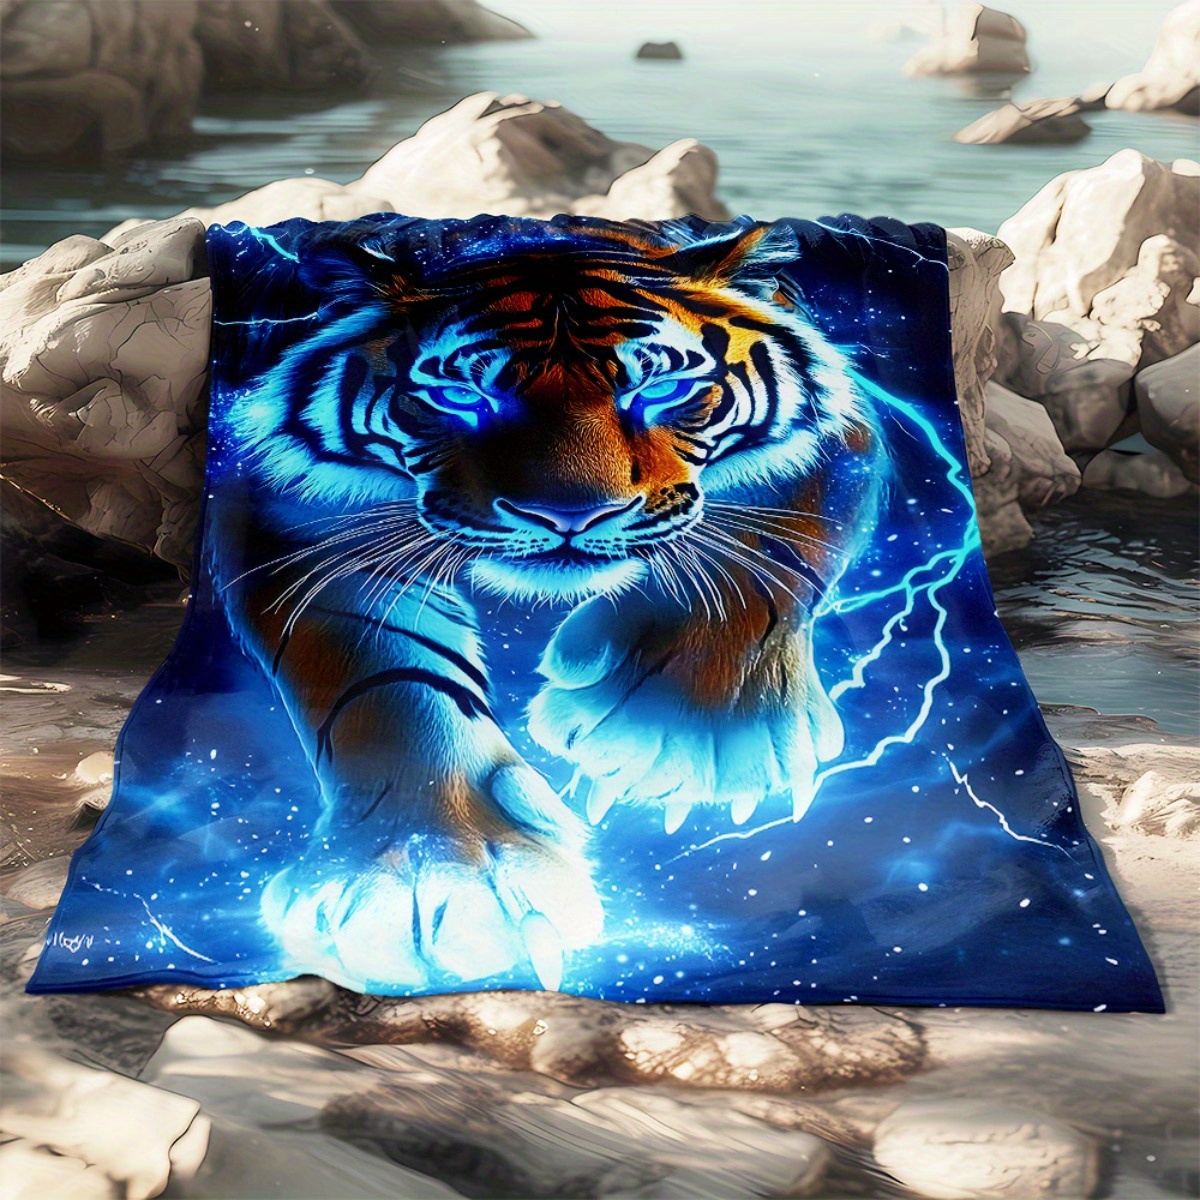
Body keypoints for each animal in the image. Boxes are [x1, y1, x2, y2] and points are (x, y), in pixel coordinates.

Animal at [208, 214, 885, 993]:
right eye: (459, 399)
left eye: (662, 389)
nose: (570, 515)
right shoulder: (286, 517)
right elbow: (389, 682)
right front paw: (432, 876)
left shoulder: (841, 439)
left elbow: (767, 542)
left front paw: (682, 738)